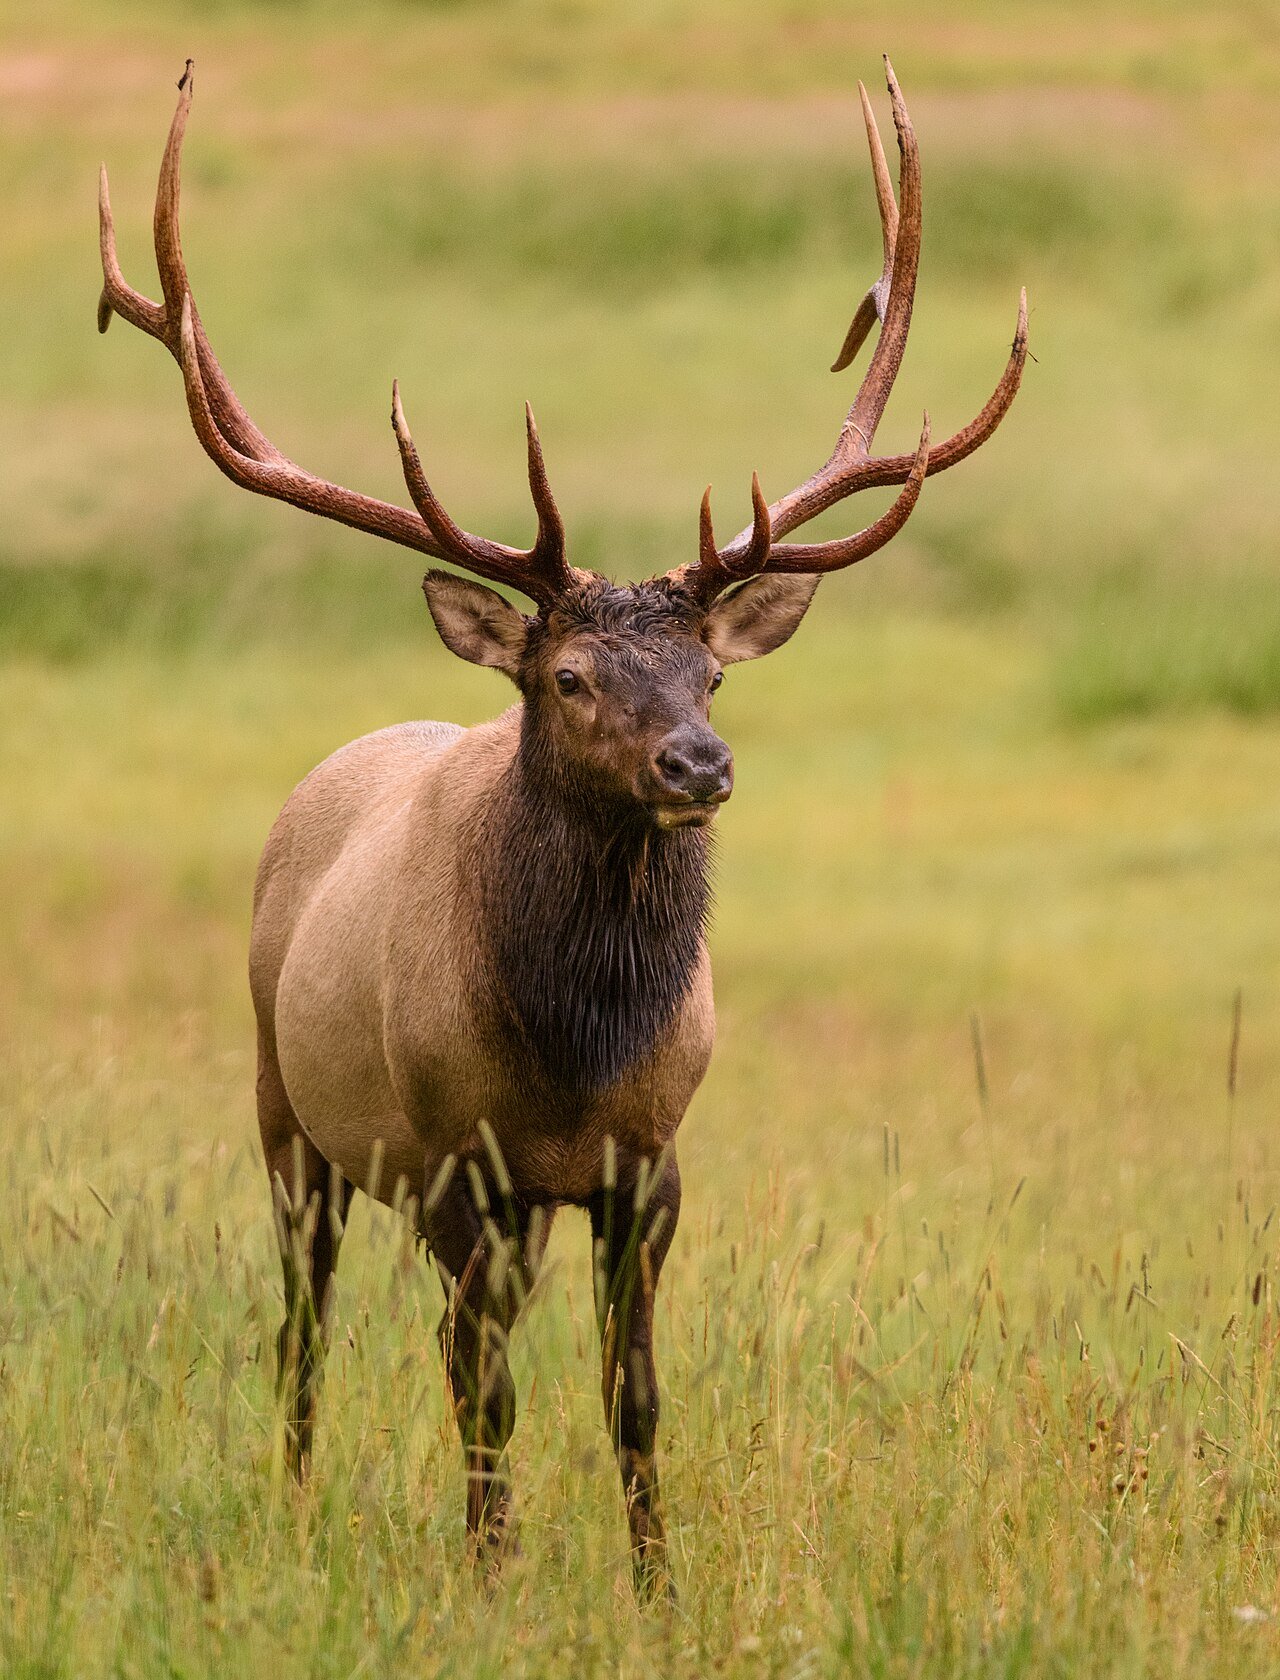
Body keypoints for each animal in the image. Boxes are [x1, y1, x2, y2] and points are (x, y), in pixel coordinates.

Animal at [97, 57, 1027, 1594]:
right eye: (573, 678)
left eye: (712, 670)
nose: (699, 761)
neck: (572, 1053)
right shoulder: (451, 1160)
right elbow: (483, 1388)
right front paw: (491, 1576)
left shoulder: (647, 1165)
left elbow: (630, 1392)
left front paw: (656, 1588)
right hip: (286, 1108)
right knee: (307, 1326)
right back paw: (291, 1504)